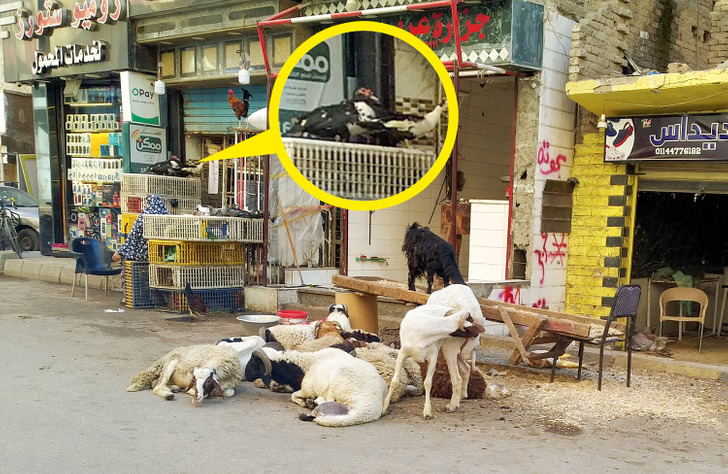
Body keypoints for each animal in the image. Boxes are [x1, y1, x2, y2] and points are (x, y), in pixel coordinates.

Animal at [245, 346, 386, 428]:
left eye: (253, 362)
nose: (246, 375)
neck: (303, 366)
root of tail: (370, 407)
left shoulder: (307, 389)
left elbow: (293, 396)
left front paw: (304, 402)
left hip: (337, 383)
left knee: (327, 399)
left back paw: (312, 403)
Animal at [426, 284, 490, 412]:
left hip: (450, 347)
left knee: (457, 378)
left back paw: (452, 405)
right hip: (460, 349)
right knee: (466, 368)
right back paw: (462, 395)